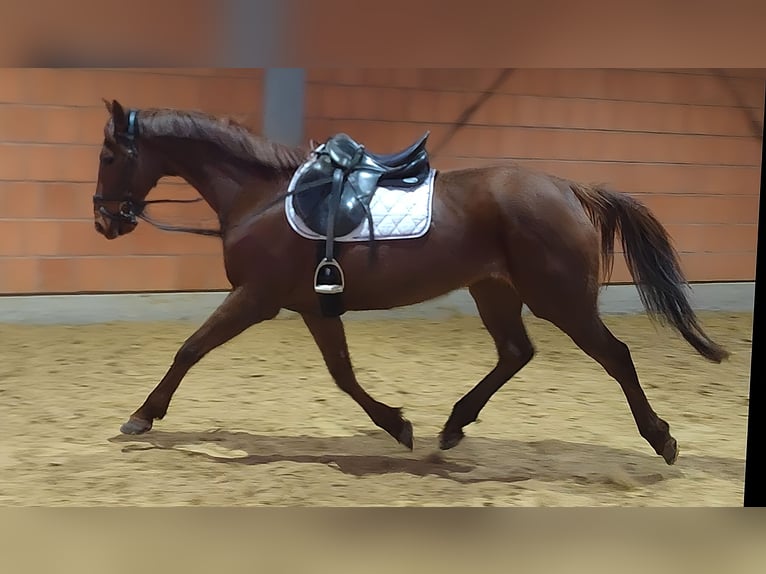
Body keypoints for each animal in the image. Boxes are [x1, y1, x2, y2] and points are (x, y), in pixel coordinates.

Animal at [92, 99, 729, 466]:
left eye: (108, 155)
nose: (104, 220)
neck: (263, 196)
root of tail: (569, 189)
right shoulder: (313, 307)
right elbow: (343, 376)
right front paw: (399, 426)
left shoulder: (257, 298)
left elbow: (190, 348)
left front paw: (142, 416)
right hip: (495, 290)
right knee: (515, 352)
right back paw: (452, 427)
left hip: (562, 300)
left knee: (615, 356)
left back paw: (662, 439)